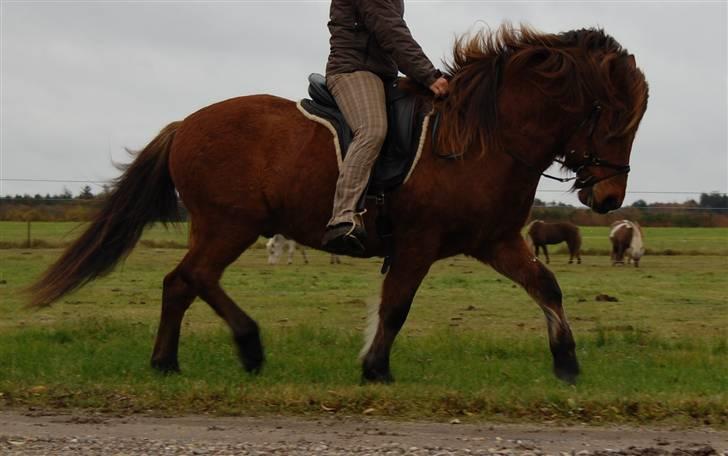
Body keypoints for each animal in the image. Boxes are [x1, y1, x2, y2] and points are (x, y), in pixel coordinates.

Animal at [31, 25, 652, 384]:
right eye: (614, 115)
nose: (607, 198)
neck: (485, 136)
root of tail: (186, 124)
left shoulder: (494, 241)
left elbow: (547, 287)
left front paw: (567, 363)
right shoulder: (419, 242)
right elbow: (396, 306)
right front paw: (375, 368)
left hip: (221, 226)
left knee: (180, 283)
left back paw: (167, 362)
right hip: (230, 224)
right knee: (195, 277)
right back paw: (248, 347)